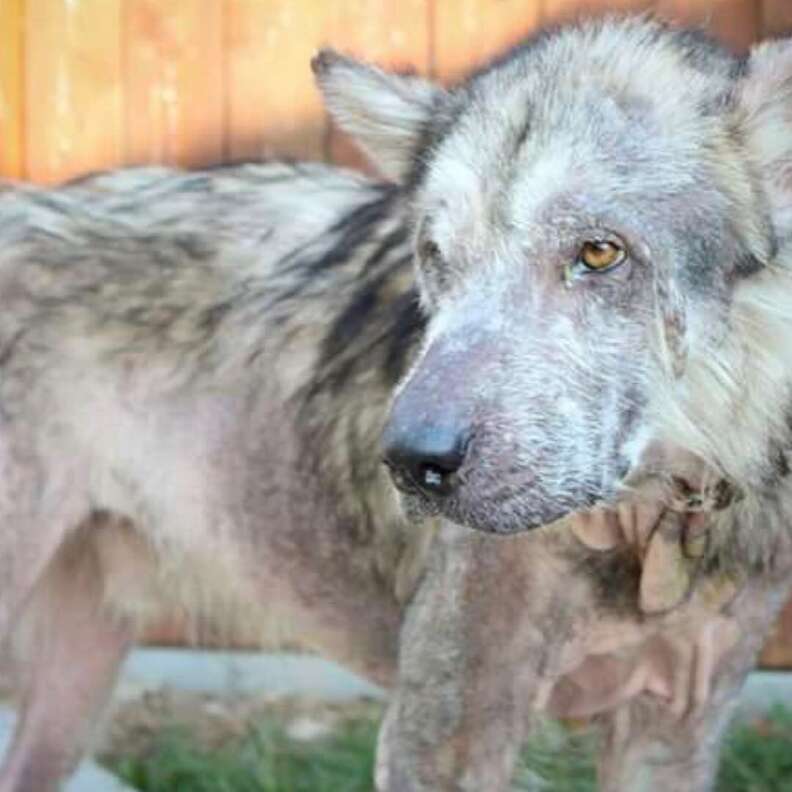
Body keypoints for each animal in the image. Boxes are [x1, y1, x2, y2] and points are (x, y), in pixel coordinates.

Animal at [1, 13, 792, 792]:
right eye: (437, 256)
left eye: (599, 253)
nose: (412, 460)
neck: (654, 520)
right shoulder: (442, 734)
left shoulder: (673, 736)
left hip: (73, 688)